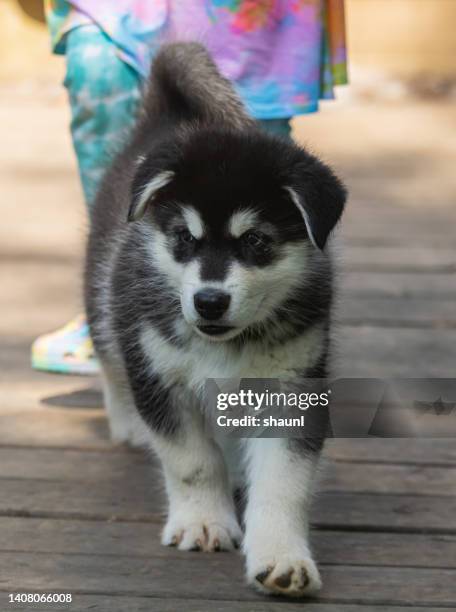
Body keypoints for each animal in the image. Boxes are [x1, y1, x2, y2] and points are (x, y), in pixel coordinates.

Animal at [85, 41, 346, 596]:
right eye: (184, 238)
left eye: (257, 242)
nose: (209, 301)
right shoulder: (160, 376)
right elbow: (192, 462)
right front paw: (203, 521)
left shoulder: (291, 389)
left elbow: (283, 485)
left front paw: (281, 556)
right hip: (104, 300)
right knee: (111, 360)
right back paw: (129, 424)